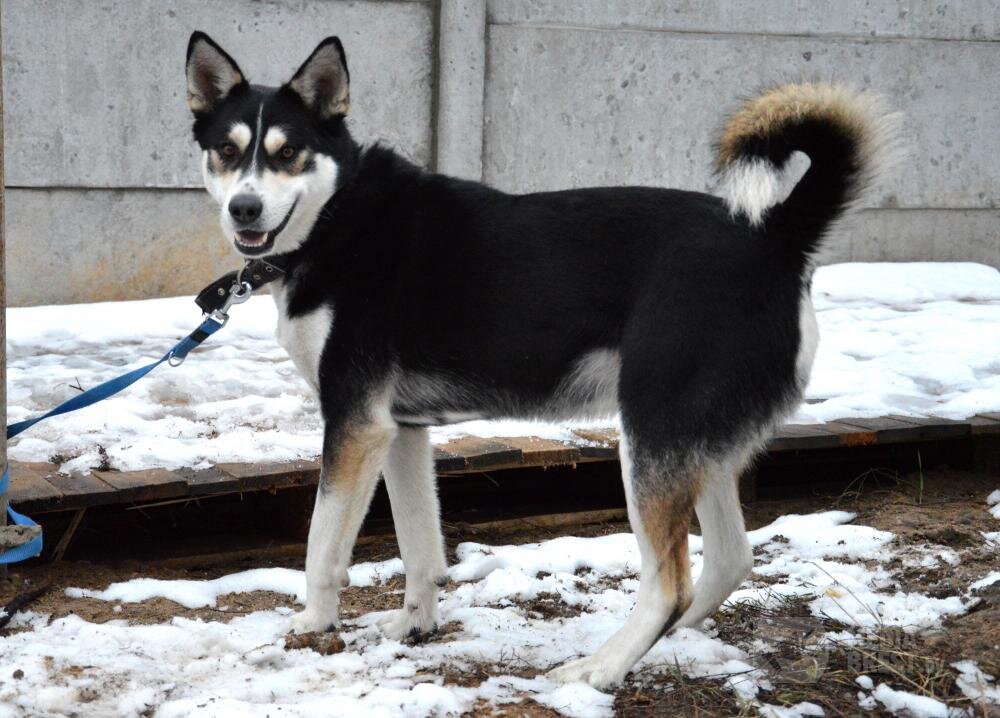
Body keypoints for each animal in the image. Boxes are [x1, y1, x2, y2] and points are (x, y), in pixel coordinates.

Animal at [188, 33, 900, 692]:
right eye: (227, 151)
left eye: (287, 153)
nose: (244, 208)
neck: (337, 219)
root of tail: (777, 235)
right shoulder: (399, 431)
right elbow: (420, 547)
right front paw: (416, 625)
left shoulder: (353, 425)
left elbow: (320, 546)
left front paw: (312, 624)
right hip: (698, 446)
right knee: (727, 561)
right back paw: (665, 644)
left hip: (649, 440)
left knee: (670, 582)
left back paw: (601, 667)